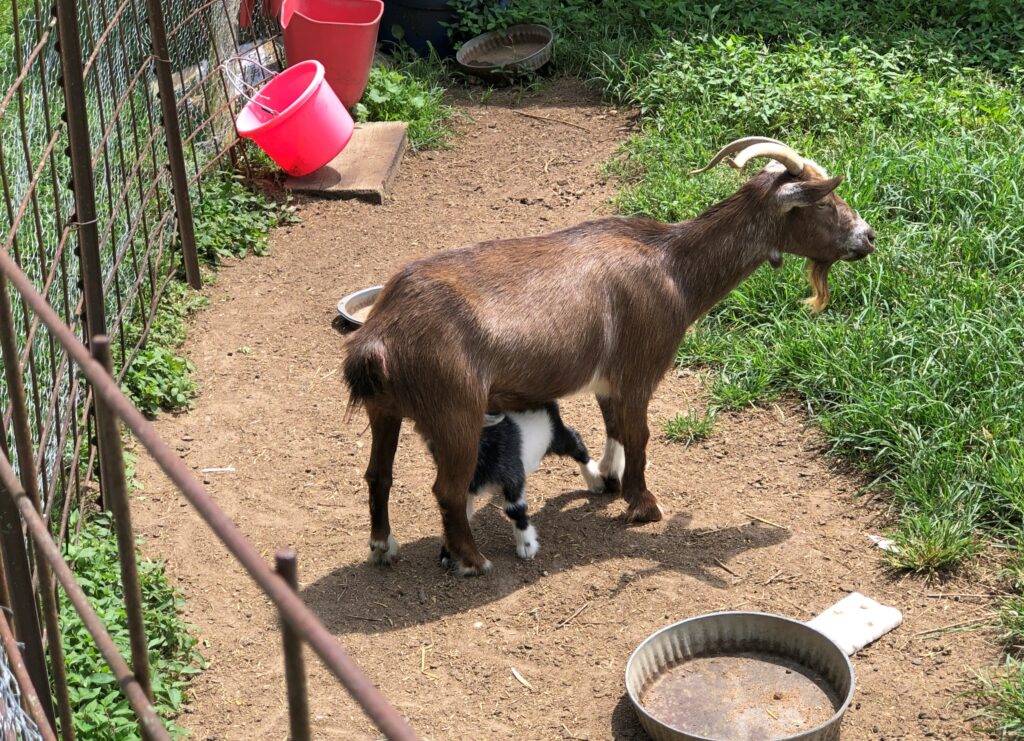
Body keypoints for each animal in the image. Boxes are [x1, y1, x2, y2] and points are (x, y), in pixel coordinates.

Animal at [344, 137, 875, 575]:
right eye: (824, 201)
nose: (868, 237)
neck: (674, 266)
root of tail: (380, 338)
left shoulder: (607, 379)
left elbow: (614, 428)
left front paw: (608, 480)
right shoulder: (641, 368)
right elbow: (639, 434)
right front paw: (644, 505)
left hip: (385, 410)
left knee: (378, 473)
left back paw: (383, 547)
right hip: (455, 411)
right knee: (448, 490)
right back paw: (473, 561)